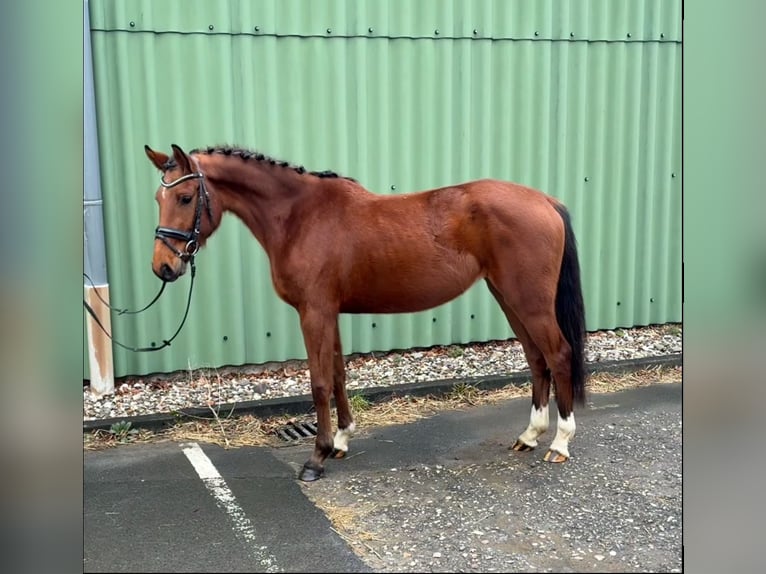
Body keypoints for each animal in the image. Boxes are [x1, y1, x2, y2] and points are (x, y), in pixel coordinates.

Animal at [144, 144, 588, 482]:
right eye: (158, 199)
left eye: (185, 198)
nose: (163, 267)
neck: (299, 216)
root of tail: (545, 201)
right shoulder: (330, 313)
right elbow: (339, 374)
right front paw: (341, 441)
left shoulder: (314, 312)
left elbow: (320, 382)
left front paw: (316, 458)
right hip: (508, 297)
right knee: (536, 359)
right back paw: (529, 436)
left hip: (528, 301)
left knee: (558, 354)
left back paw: (560, 442)